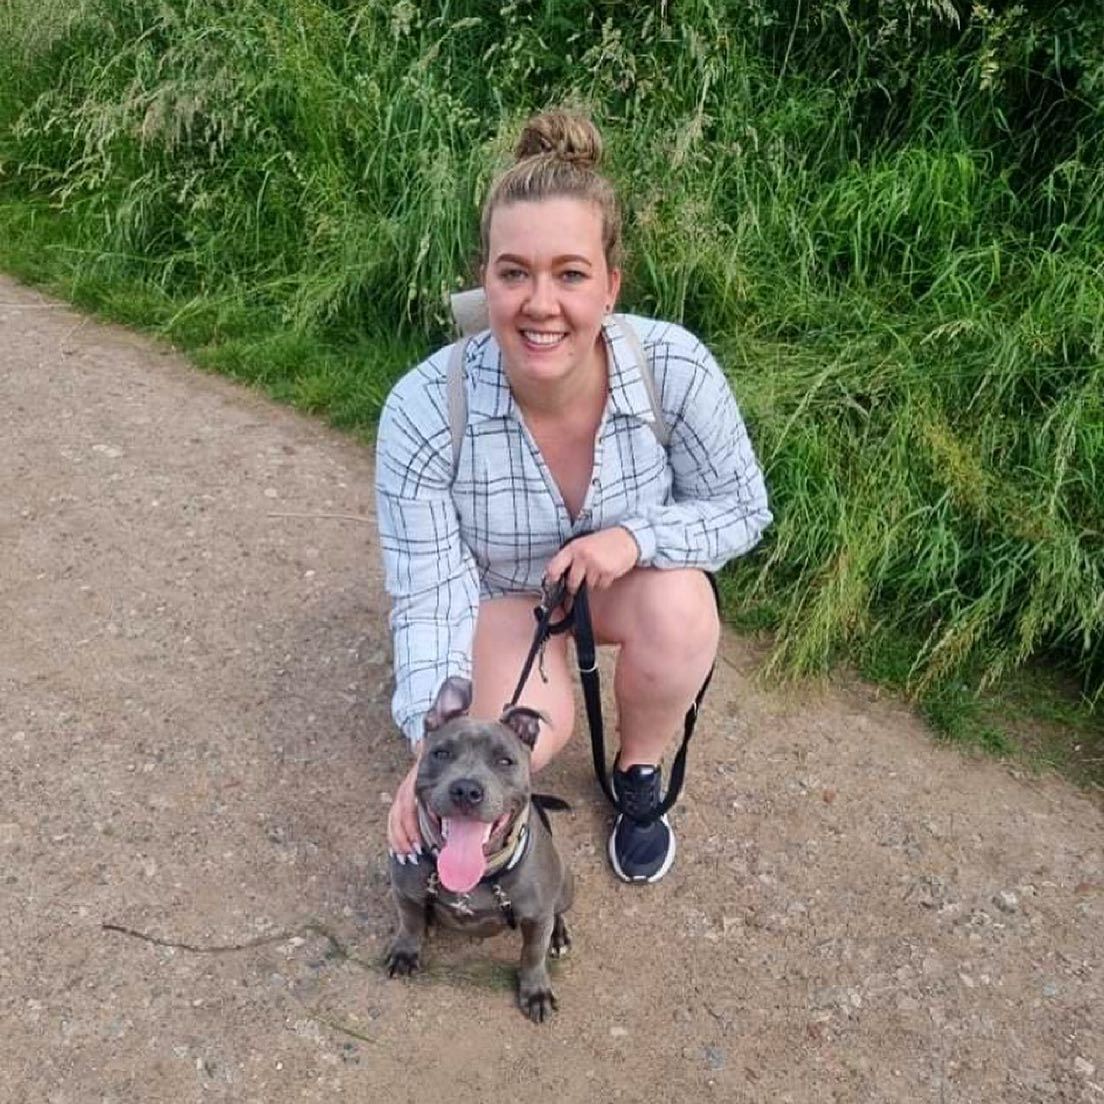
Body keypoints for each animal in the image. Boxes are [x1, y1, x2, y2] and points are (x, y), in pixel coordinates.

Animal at [387, 676, 574, 1022]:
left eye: (505, 761)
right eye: (441, 753)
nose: (466, 789)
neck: (477, 876)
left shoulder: (537, 917)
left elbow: (532, 953)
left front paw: (536, 991)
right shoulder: (404, 891)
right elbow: (409, 922)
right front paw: (407, 950)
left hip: (565, 883)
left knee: (558, 911)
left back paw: (559, 934)